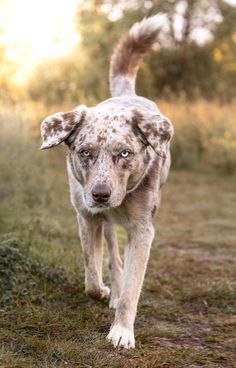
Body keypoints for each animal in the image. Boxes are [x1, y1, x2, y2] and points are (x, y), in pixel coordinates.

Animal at [40, 13, 173, 348]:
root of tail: (127, 94)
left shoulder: (142, 230)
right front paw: (102, 291)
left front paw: (122, 331)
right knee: (112, 253)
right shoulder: (86, 217)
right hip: (106, 222)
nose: (100, 194)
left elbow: (132, 290)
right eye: (85, 152)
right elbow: (91, 273)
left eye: (124, 153)